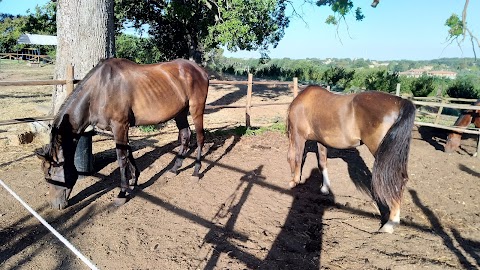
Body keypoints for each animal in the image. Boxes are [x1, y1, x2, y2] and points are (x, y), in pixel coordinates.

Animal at [36, 58, 209, 209]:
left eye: (50, 173)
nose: (55, 205)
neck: (99, 90)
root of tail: (200, 70)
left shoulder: (120, 126)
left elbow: (121, 158)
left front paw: (122, 193)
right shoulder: (119, 129)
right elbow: (128, 151)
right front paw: (134, 179)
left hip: (196, 108)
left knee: (200, 137)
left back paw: (196, 171)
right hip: (180, 112)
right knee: (185, 135)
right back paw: (174, 169)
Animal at [284, 86, 416, 232]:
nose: (292, 177)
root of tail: (400, 102)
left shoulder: (298, 136)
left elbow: (297, 158)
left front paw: (294, 181)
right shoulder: (321, 141)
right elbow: (322, 163)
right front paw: (325, 188)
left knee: (396, 180)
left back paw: (390, 223)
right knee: (402, 179)